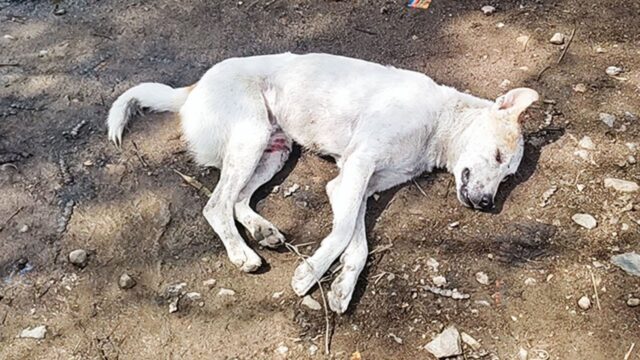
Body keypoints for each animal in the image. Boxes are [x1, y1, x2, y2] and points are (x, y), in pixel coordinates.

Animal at [107, 52, 536, 314]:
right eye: (499, 157)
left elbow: (357, 246)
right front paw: (310, 273)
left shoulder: (357, 184)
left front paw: (343, 286)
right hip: (250, 135)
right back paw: (243, 254)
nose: (488, 205)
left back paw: (262, 232)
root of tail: (193, 88)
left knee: (238, 201)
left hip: (274, 150)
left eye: (507, 177)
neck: (437, 123)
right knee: (215, 205)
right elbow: (344, 233)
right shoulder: (356, 169)